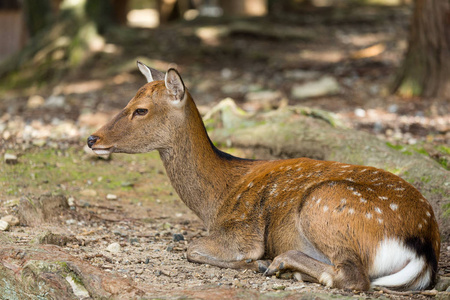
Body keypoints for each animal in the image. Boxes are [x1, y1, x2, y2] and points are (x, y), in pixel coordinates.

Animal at [88, 62, 440, 292]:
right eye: (129, 101)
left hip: (324, 203)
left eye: (141, 110)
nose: (92, 138)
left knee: (354, 277)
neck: (215, 200)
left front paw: (253, 263)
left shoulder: (243, 230)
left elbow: (192, 247)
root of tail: (423, 246)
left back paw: (279, 264)